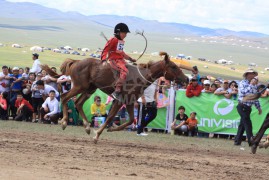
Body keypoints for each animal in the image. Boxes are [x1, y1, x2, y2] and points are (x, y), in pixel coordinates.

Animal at [43, 51, 187, 143]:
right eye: (173, 66)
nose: (185, 78)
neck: (139, 77)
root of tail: (76, 61)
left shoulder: (129, 102)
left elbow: (130, 120)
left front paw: (111, 129)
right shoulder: (120, 100)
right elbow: (110, 117)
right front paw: (97, 135)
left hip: (89, 89)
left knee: (78, 103)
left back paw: (87, 127)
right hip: (79, 86)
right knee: (64, 97)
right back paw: (64, 122)